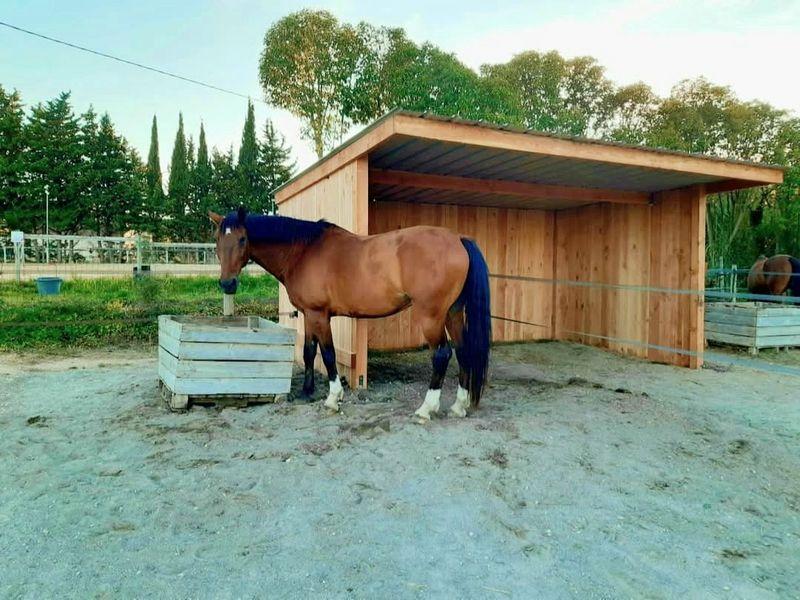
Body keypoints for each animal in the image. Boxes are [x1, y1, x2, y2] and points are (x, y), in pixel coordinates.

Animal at [209, 207, 491, 421]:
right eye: (217, 241)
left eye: (242, 239)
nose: (227, 284)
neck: (303, 251)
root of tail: (458, 239)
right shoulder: (309, 314)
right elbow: (309, 352)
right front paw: (306, 392)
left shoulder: (319, 315)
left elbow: (328, 354)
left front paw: (333, 398)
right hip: (453, 313)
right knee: (462, 350)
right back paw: (459, 406)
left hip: (431, 316)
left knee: (442, 354)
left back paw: (426, 408)